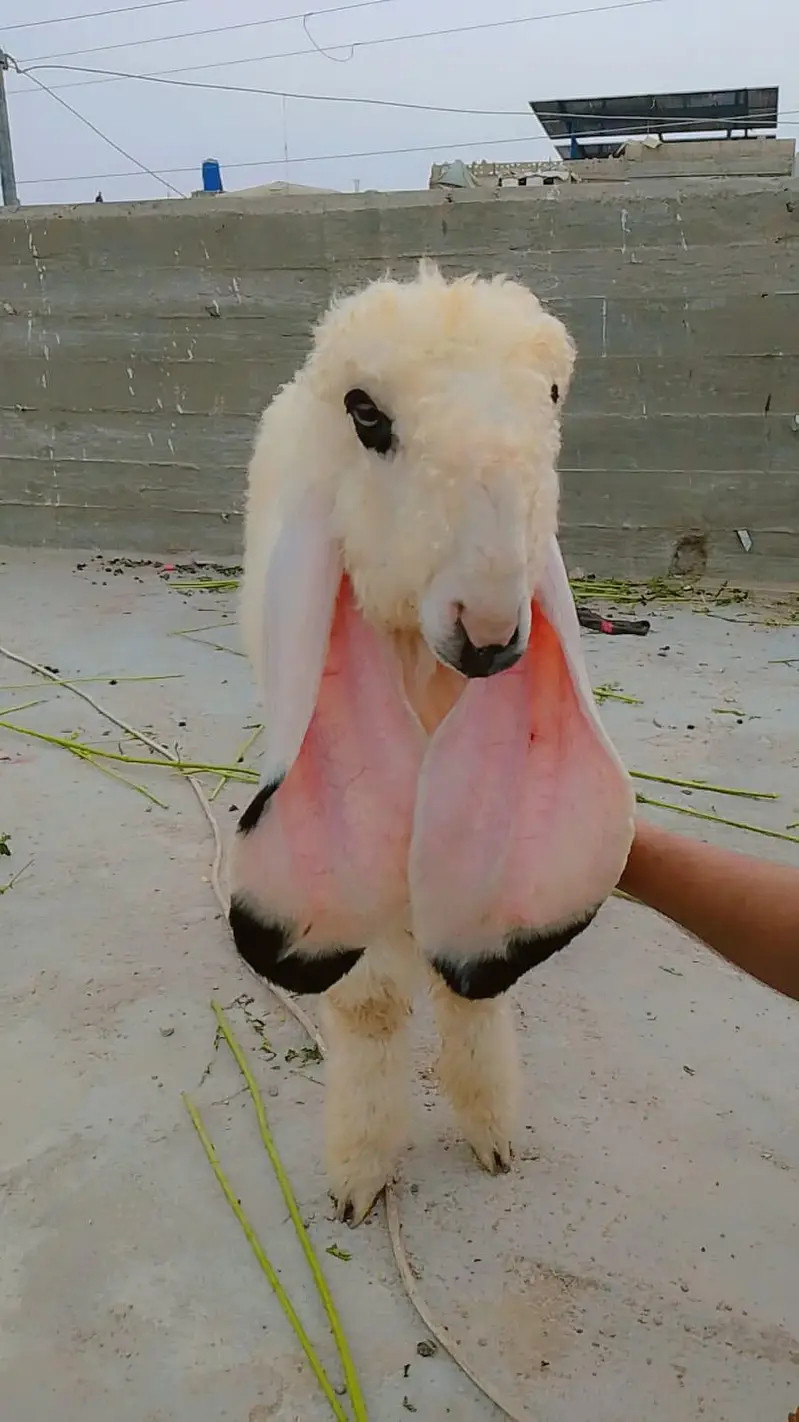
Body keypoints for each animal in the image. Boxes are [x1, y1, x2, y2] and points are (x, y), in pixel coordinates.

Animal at [230, 262, 635, 1225]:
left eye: (552, 396)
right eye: (365, 414)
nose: (489, 634)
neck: (419, 654)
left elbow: (464, 983)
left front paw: (491, 1133)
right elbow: (372, 1006)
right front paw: (360, 1171)